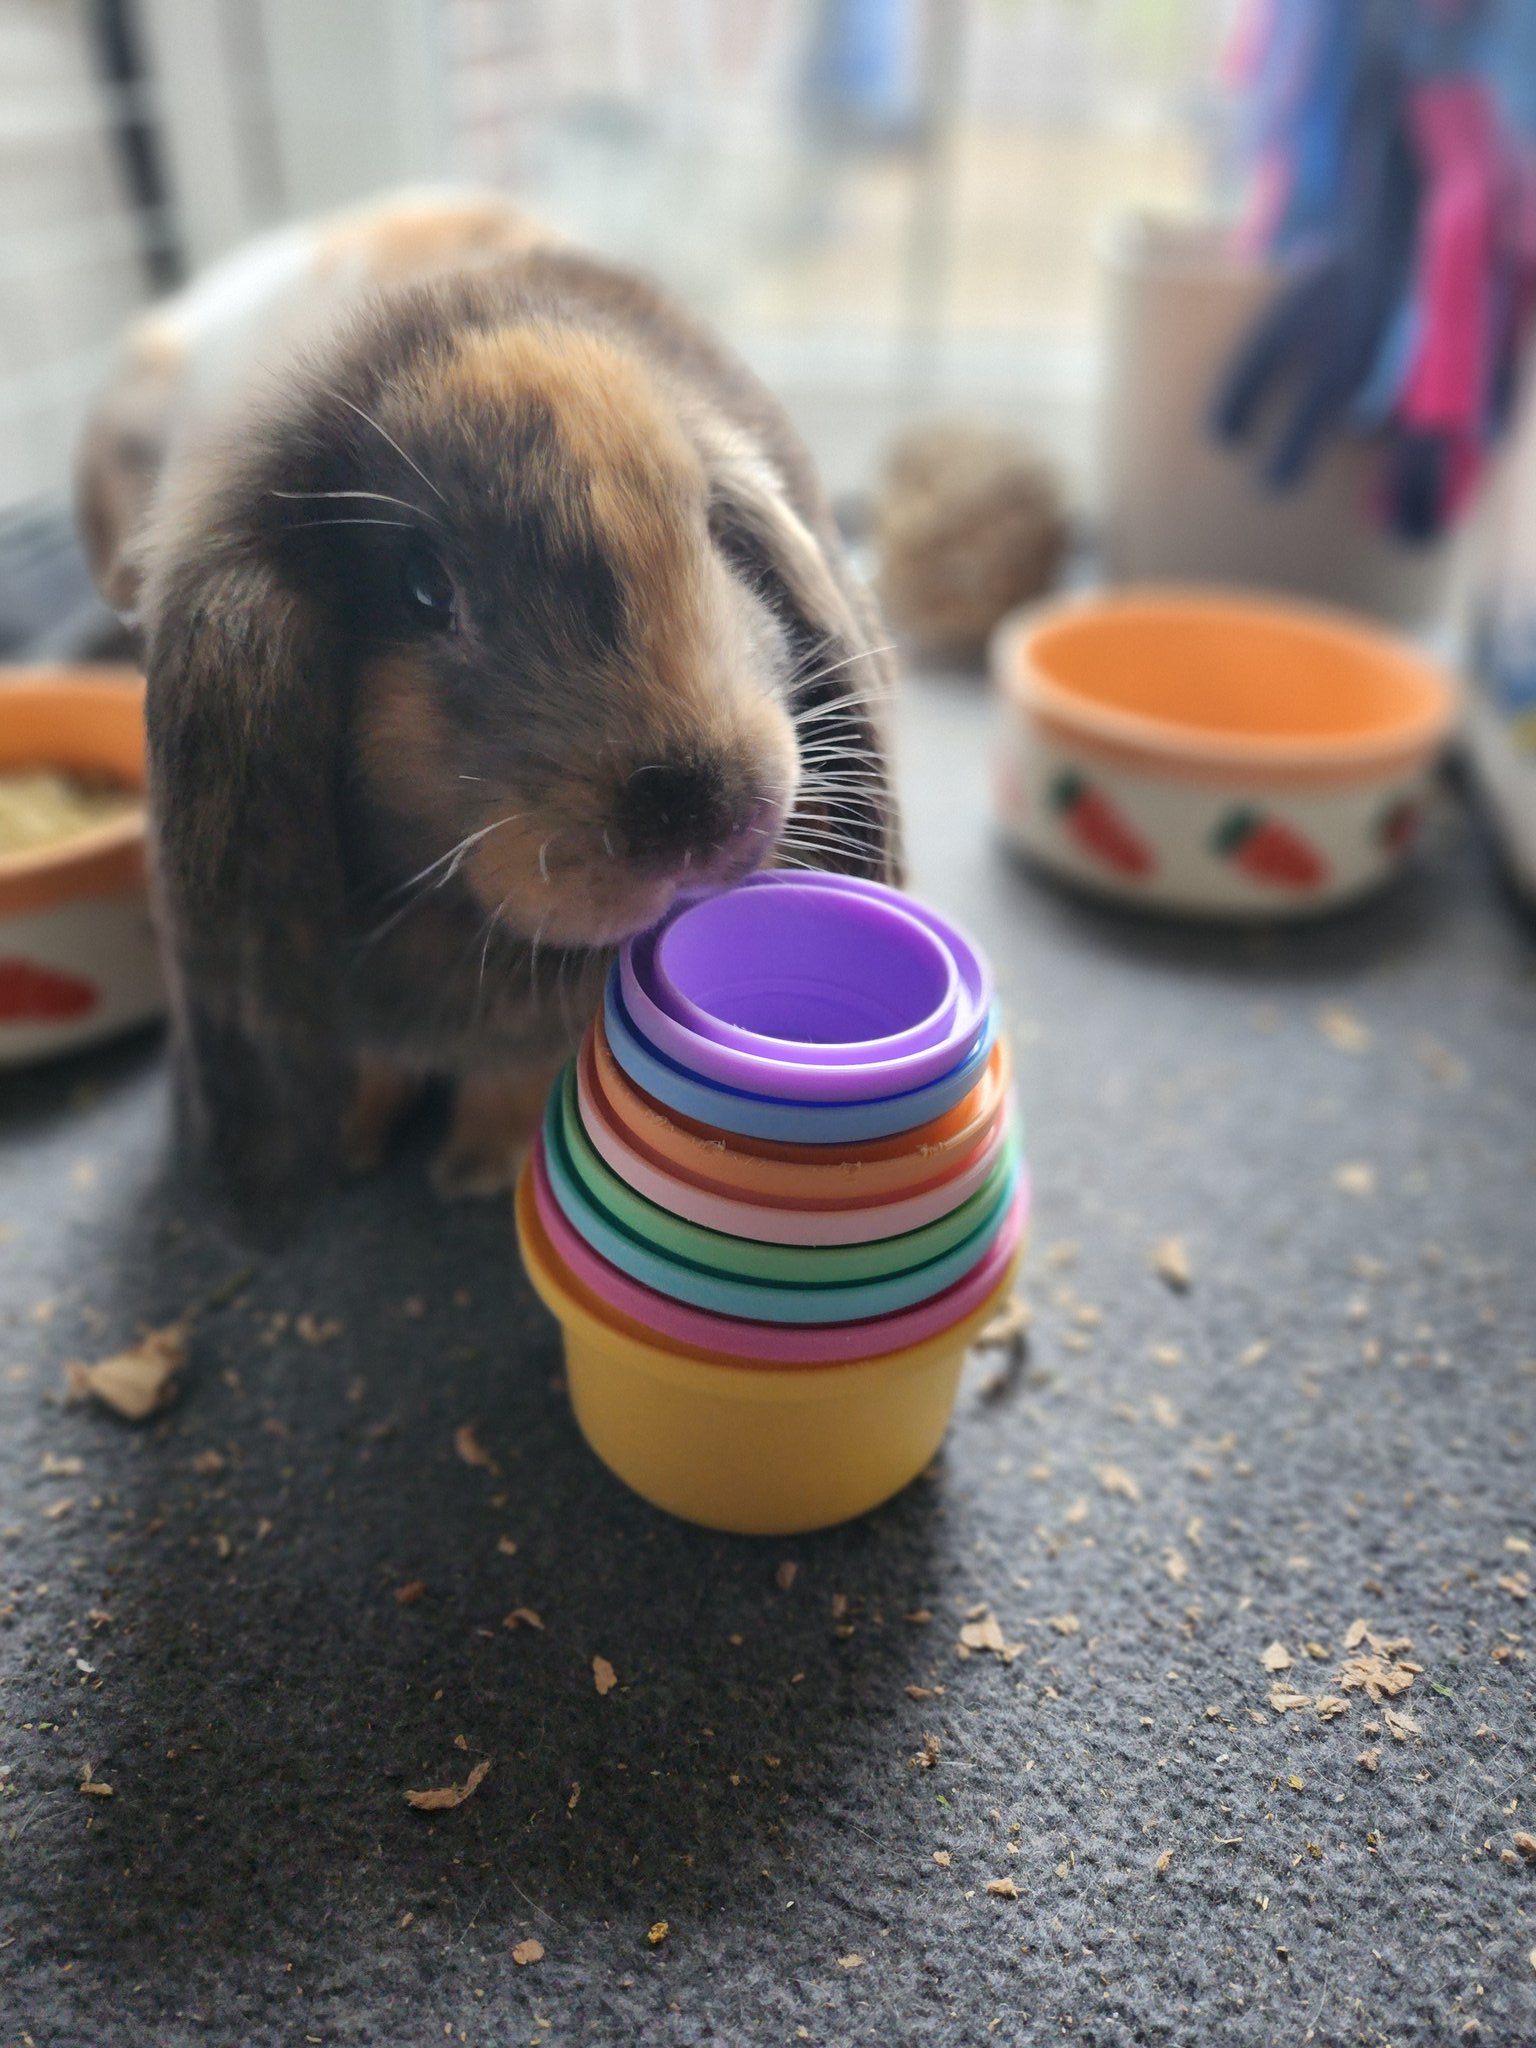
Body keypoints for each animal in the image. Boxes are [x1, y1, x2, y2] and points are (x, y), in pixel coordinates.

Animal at [81, 192, 901, 1236]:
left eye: (712, 535)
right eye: (427, 589)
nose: (701, 816)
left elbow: (518, 1074)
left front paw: (476, 1168)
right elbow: (368, 1062)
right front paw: (352, 1147)